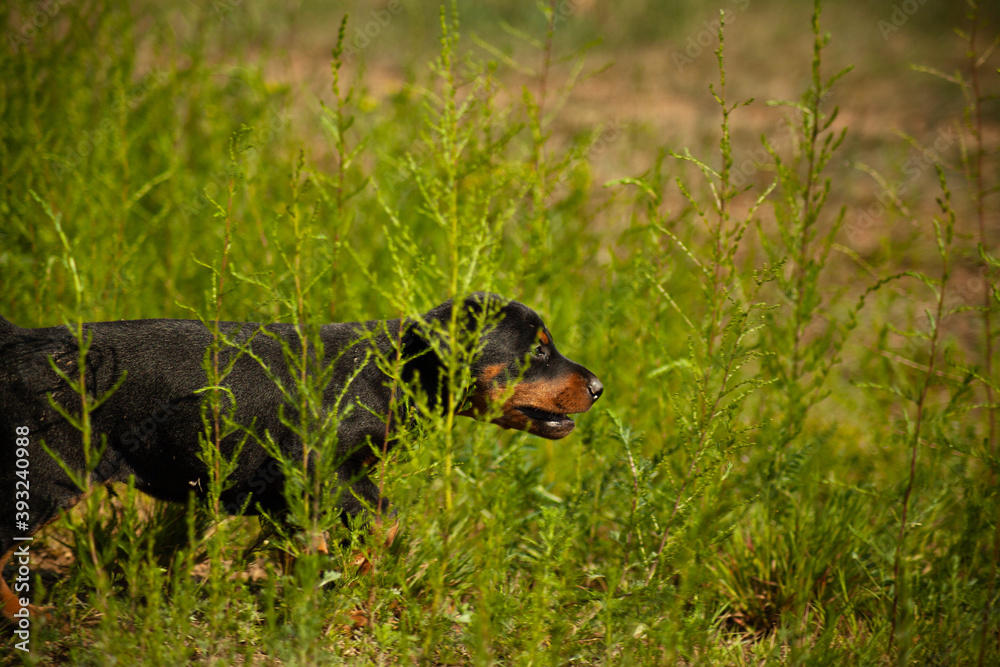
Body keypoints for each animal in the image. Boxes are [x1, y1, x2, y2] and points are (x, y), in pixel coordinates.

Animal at [1, 294, 600, 620]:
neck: (393, 372)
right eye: (538, 350)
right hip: (46, 479)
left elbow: (323, 544)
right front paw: (347, 585)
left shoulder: (298, 492)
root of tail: (20, 346)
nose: (598, 388)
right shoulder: (318, 473)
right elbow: (384, 521)